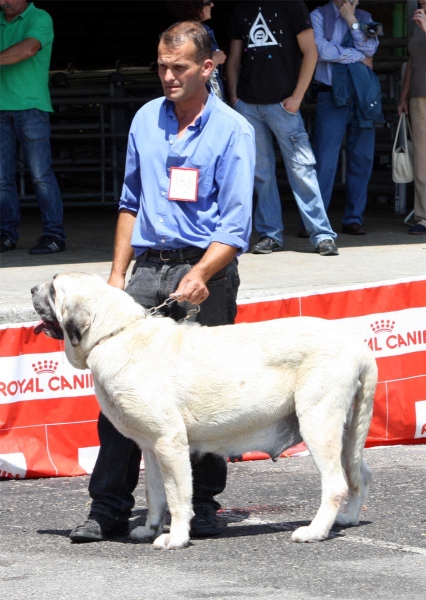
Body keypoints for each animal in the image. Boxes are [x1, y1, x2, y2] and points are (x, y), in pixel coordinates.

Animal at [31, 274, 378, 552]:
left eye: (54, 288)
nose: (33, 288)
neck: (116, 333)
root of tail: (359, 347)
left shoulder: (170, 442)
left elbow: (177, 496)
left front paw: (175, 538)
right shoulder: (151, 447)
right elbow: (154, 493)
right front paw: (149, 529)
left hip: (318, 422)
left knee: (336, 483)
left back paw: (314, 531)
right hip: (348, 431)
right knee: (359, 473)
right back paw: (348, 518)